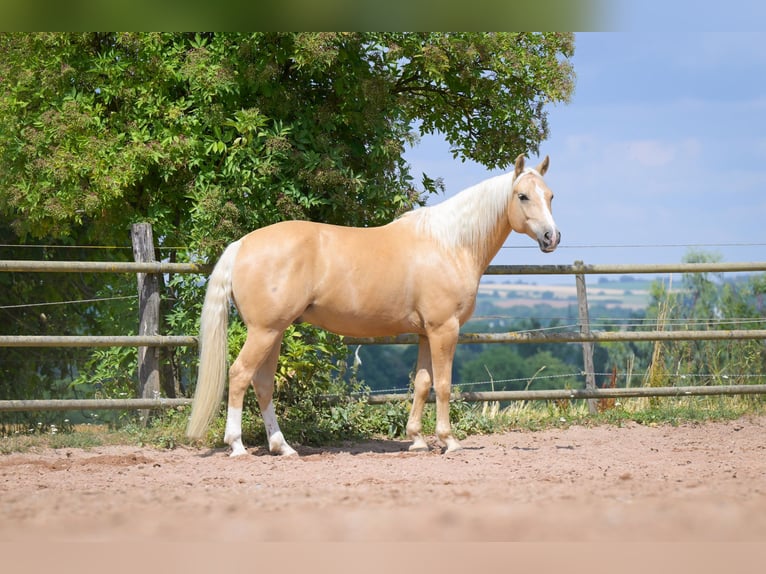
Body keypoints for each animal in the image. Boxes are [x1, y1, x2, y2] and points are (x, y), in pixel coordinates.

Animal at [186, 153, 561, 456]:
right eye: (522, 196)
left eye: (550, 196)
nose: (551, 237)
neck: (449, 244)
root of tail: (242, 244)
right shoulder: (444, 330)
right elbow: (442, 384)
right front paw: (449, 441)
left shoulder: (425, 333)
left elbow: (421, 383)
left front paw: (417, 439)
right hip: (264, 332)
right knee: (239, 376)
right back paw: (237, 446)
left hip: (273, 332)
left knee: (262, 384)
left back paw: (283, 447)